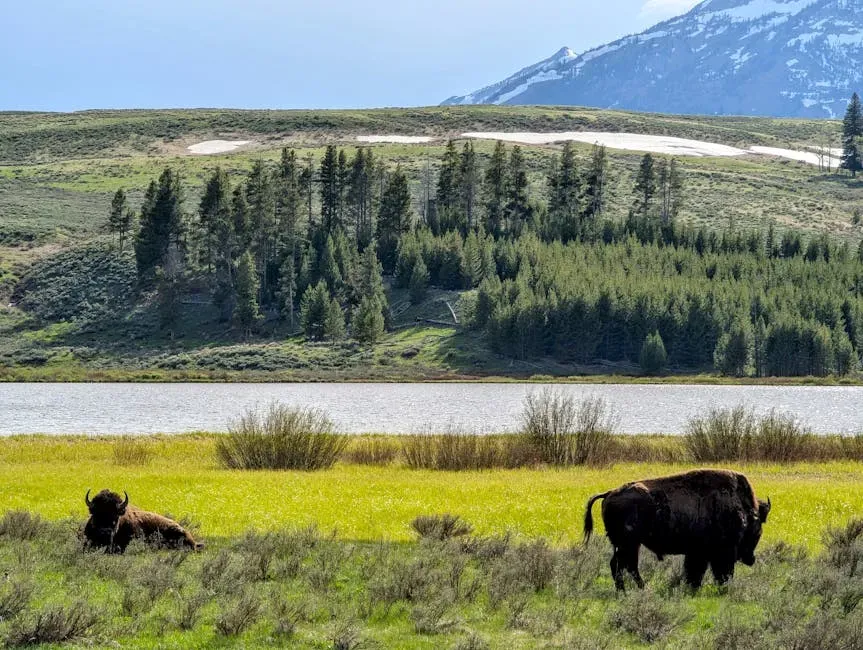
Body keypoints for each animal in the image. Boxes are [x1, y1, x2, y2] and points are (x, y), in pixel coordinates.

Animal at [584, 469, 770, 590]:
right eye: (758, 531)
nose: (751, 559)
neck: (742, 510)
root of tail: (609, 493)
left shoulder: (697, 553)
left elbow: (694, 571)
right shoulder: (719, 553)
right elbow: (716, 571)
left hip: (625, 544)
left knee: (622, 565)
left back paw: (628, 590)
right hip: (629, 544)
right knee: (625, 565)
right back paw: (637, 589)